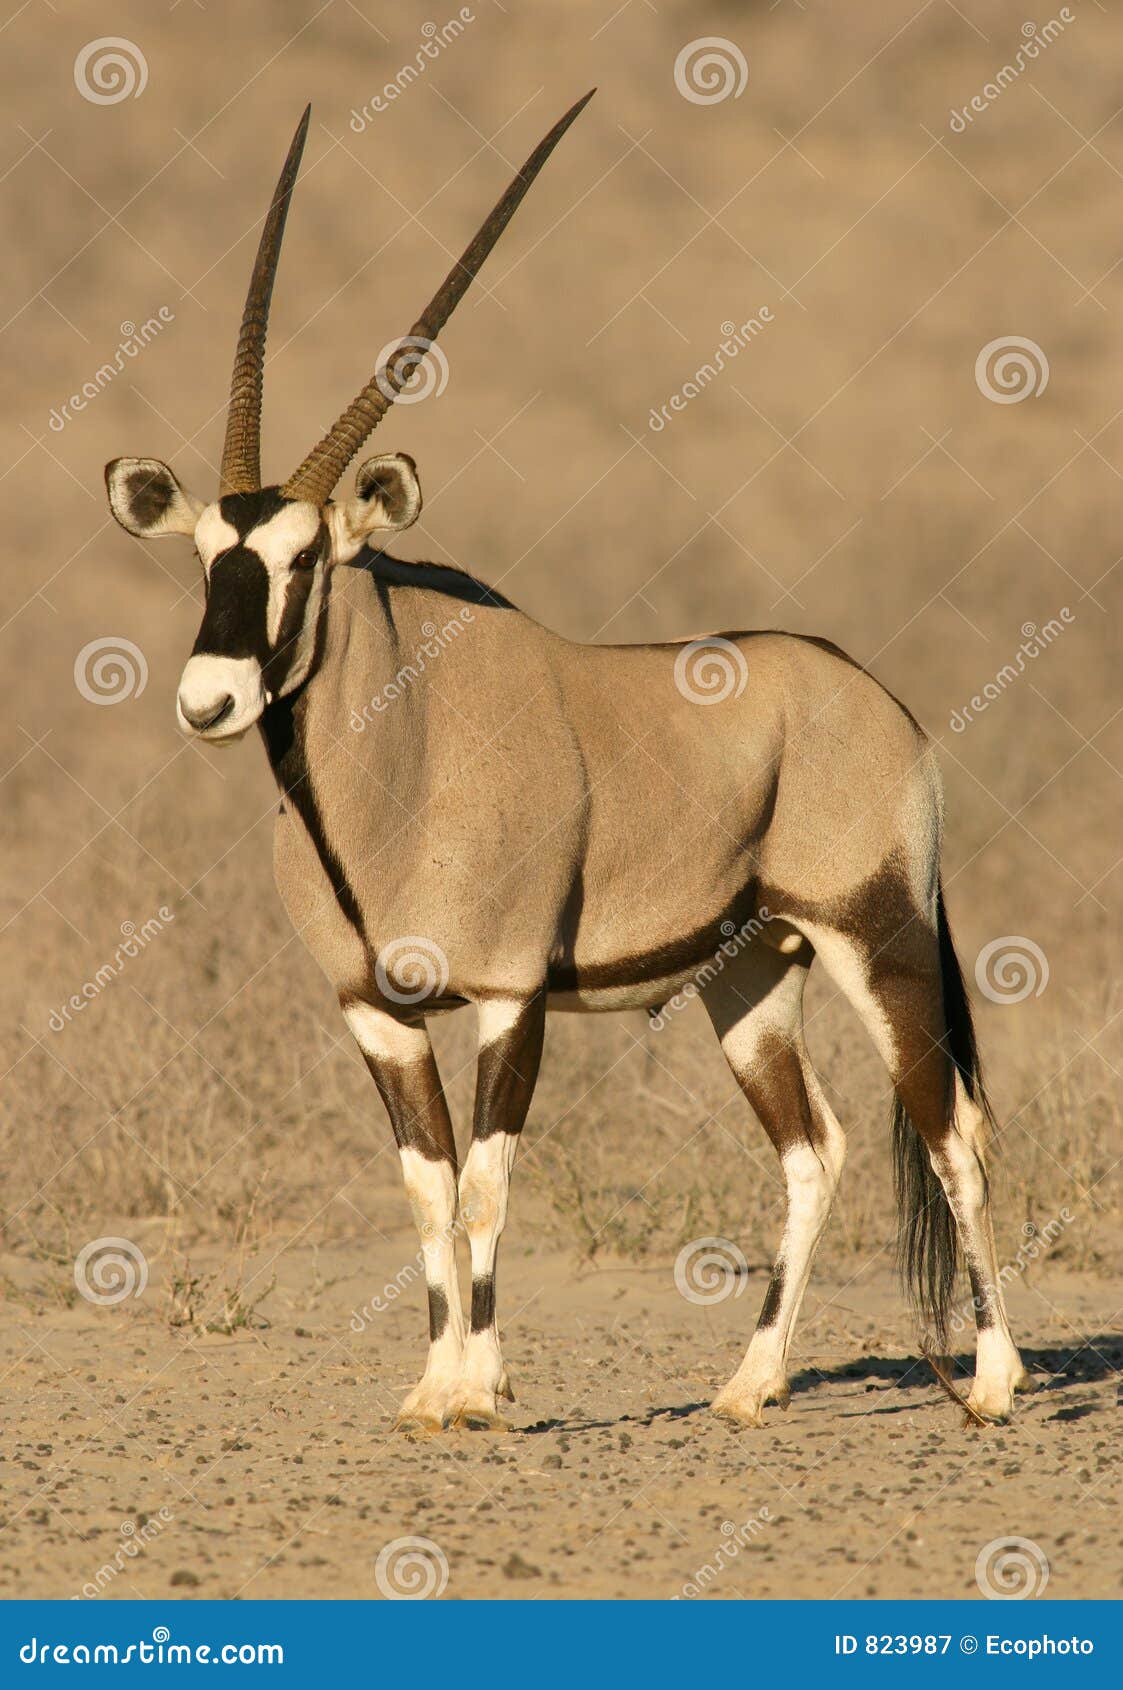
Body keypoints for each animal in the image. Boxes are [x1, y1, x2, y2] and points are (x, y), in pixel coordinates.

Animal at [105, 95, 1028, 1426]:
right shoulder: (376, 1012)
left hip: (877, 935)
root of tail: (872, 693)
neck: (400, 753)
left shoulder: (508, 997)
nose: (210, 698)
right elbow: (429, 1187)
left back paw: (997, 1380)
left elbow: (488, 1183)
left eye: (304, 559)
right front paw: (432, 1385)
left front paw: (479, 1388)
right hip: (752, 977)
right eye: (203, 559)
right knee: (816, 1147)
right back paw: (749, 1382)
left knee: (950, 1127)